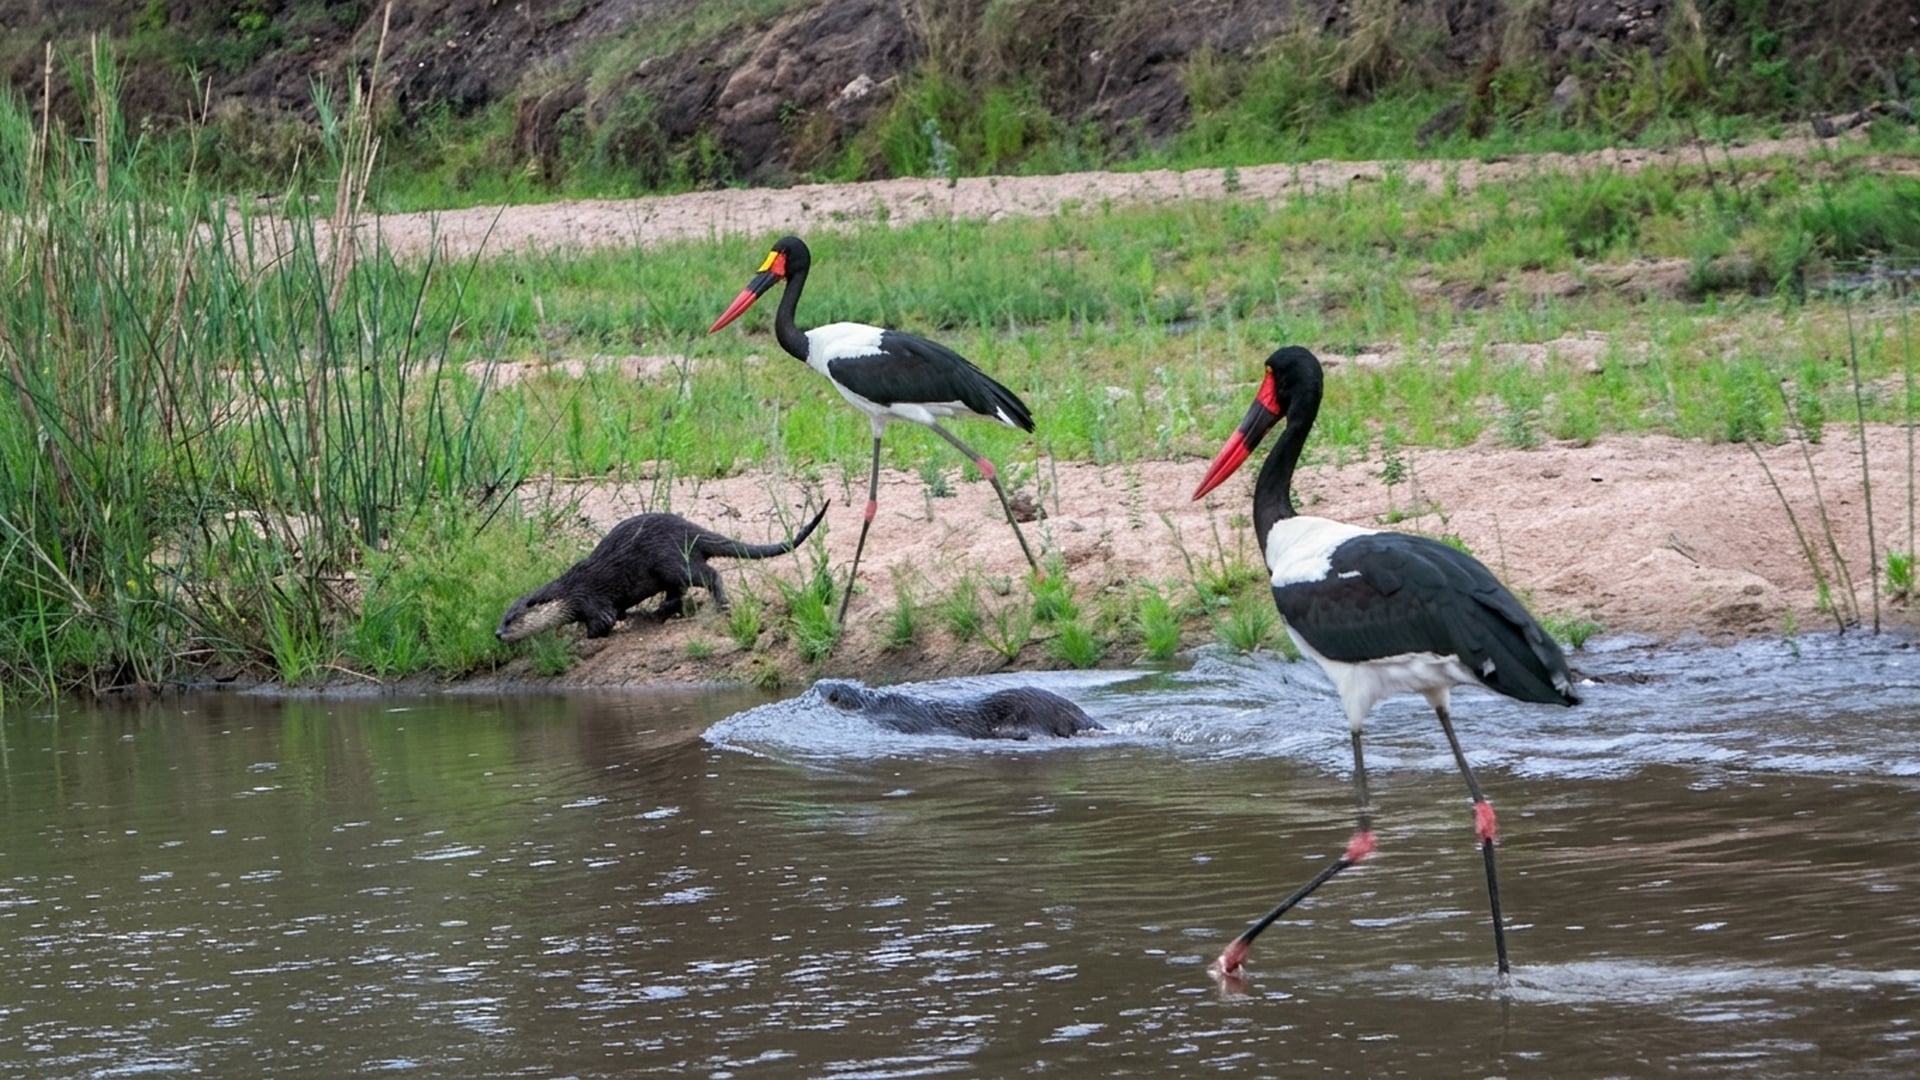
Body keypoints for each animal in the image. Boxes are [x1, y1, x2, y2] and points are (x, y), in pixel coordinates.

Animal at [496, 504, 828, 642]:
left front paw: (579, 638)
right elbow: (616, 613)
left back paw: (718, 604)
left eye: (511, 619)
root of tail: (689, 529)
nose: (497, 633)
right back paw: (661, 611)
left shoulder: (590, 599)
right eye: (501, 618)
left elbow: (603, 621)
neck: (569, 593)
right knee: (679, 591)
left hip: (670, 560)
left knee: (706, 575)